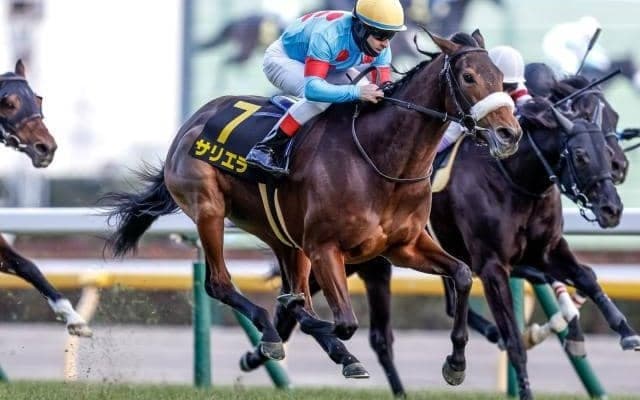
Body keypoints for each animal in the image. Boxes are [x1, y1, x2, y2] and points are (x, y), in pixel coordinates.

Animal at [105, 30, 521, 382]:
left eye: (501, 77)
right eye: (468, 76)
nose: (509, 134)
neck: (381, 161)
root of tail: (192, 122)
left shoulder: (403, 246)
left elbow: (463, 275)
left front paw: (456, 363)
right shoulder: (326, 248)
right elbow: (342, 321)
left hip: (283, 237)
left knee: (290, 289)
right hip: (209, 209)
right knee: (220, 283)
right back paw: (279, 332)